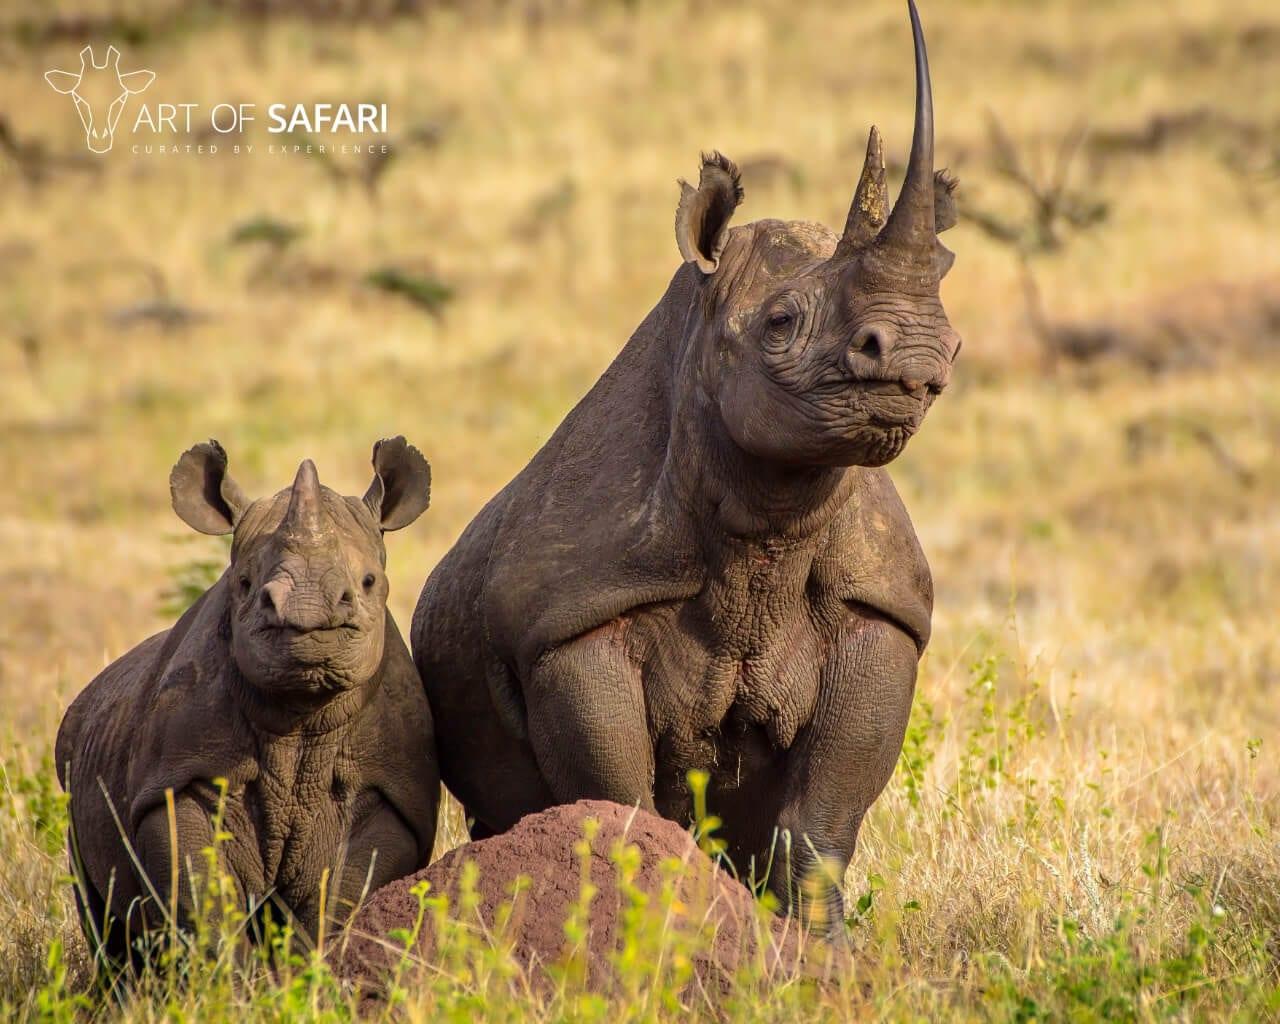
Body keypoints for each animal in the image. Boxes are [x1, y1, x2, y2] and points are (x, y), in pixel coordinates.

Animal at [57, 438, 437, 962]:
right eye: (244, 584)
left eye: (368, 582)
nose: (305, 612)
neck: (300, 716)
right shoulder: (179, 782)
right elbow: (203, 901)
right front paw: (222, 979)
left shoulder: (387, 796)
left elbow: (338, 900)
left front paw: (312, 971)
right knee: (103, 919)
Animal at [412, 0, 960, 928]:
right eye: (780, 323)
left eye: (954, 335)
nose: (922, 354)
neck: (769, 523)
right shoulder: (571, 622)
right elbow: (623, 807)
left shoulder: (882, 612)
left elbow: (819, 827)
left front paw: (818, 953)